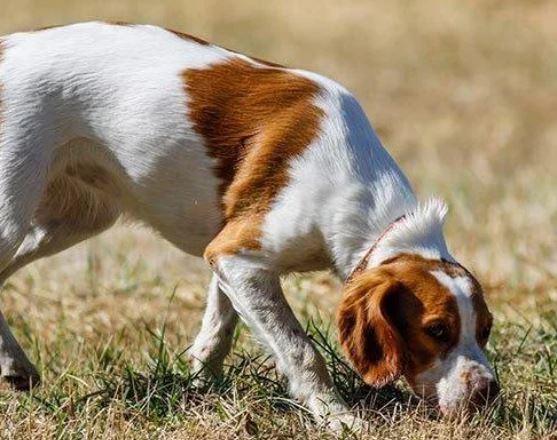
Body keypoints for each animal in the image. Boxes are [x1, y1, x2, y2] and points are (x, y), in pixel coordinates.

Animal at [0, 21, 498, 430]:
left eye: (485, 330)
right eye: (437, 330)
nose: (487, 393)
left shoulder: (232, 253)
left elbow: (218, 330)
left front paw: (202, 390)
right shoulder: (241, 257)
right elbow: (300, 350)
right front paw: (337, 417)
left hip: (74, 219)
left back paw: (14, 366)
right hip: (13, 214)